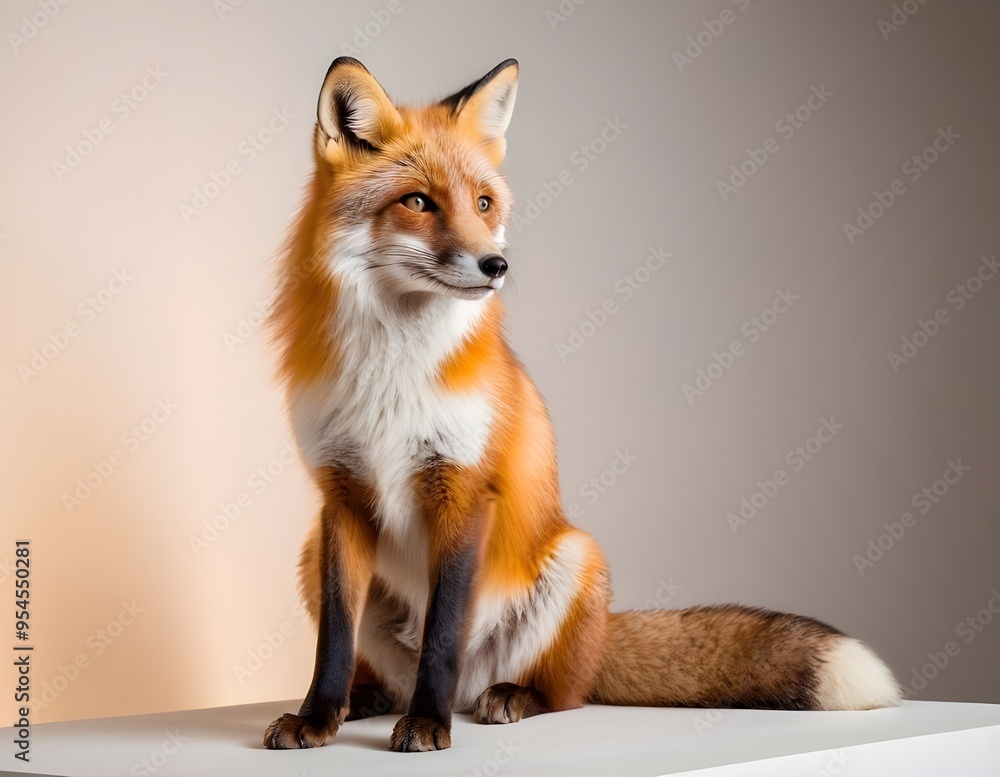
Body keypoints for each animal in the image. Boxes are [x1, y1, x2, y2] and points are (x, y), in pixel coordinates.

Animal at [262, 57, 901, 752]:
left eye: (484, 203)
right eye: (418, 202)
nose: (496, 264)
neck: (392, 369)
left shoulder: (464, 488)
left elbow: (442, 633)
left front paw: (428, 726)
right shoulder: (342, 495)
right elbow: (334, 639)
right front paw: (318, 715)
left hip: (576, 558)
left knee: (562, 693)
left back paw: (504, 697)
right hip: (310, 552)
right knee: (388, 670)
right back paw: (367, 698)